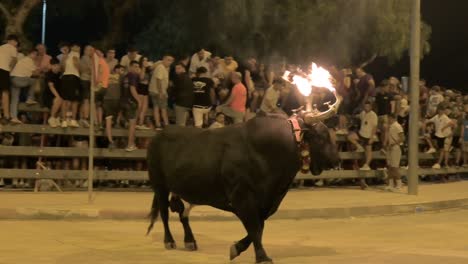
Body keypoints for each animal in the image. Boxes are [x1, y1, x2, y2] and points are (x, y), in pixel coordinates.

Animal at [144, 114, 338, 262]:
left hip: (183, 189)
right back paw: (169, 241)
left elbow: (259, 226)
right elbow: (254, 228)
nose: (336, 160)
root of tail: (160, 133)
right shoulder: (242, 198)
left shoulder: (266, 203)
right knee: (164, 212)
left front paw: (237, 248)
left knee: (182, 213)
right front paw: (261, 257)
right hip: (159, 184)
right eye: (322, 137)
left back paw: (190, 241)